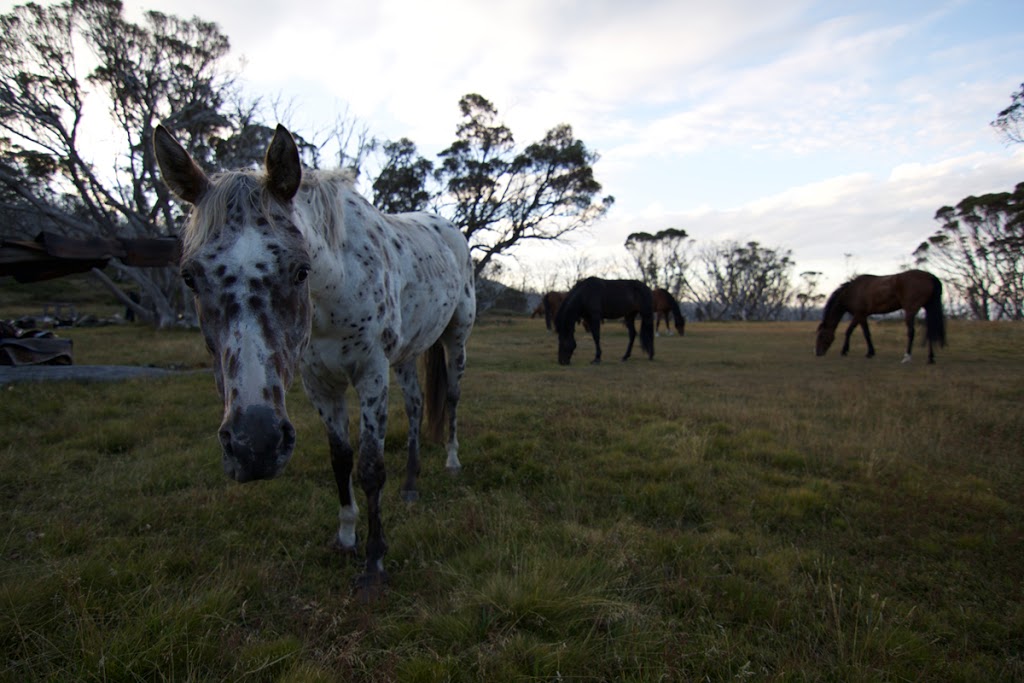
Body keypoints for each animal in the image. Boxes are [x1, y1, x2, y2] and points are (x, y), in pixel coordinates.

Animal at [153, 122, 477, 598]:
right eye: (190, 277)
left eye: (301, 269)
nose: (255, 446)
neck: (336, 288)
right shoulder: (319, 382)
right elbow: (340, 459)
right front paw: (346, 536)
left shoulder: (369, 373)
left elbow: (370, 466)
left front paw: (375, 562)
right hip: (406, 353)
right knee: (418, 407)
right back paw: (411, 485)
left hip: (455, 338)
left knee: (451, 399)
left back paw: (453, 462)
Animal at [811, 268, 946, 362]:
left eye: (821, 336)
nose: (818, 353)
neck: (852, 291)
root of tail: (930, 277)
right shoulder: (861, 315)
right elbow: (858, 332)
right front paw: (864, 352)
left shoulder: (859, 314)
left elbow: (857, 332)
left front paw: (851, 351)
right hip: (928, 307)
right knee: (930, 330)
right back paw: (931, 358)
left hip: (910, 310)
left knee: (911, 332)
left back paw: (907, 357)